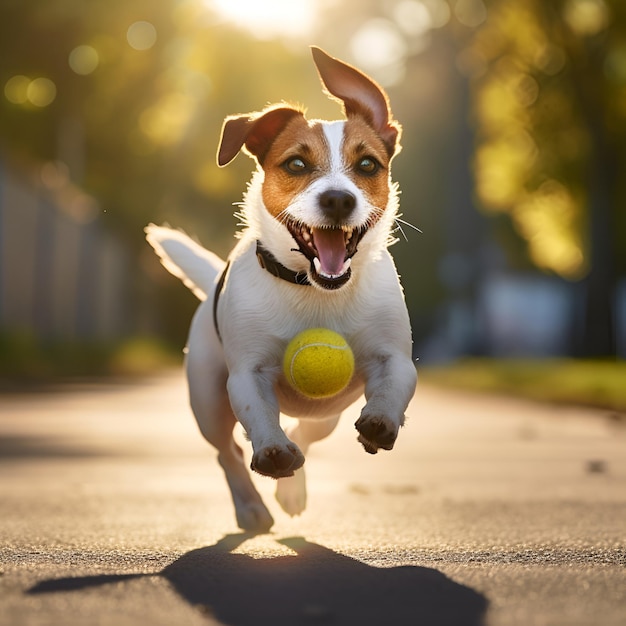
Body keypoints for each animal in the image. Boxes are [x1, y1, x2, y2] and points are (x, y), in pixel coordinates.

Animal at [144, 46, 416, 528]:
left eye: (368, 165)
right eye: (296, 164)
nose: (338, 199)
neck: (316, 289)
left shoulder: (395, 358)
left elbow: (392, 388)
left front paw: (381, 422)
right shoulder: (246, 375)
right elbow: (259, 417)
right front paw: (271, 451)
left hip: (327, 412)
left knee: (305, 430)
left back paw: (291, 489)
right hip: (207, 401)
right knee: (228, 451)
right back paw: (252, 505)